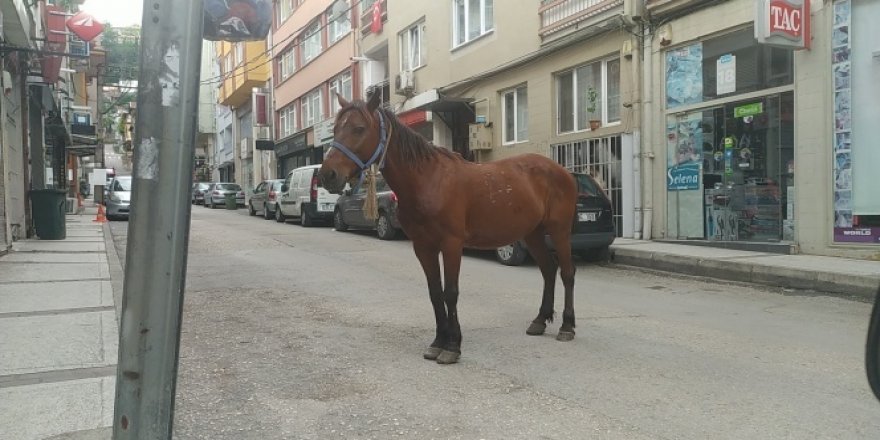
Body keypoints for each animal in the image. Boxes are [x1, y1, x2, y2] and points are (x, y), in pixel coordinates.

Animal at [320, 93, 580, 364]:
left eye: (359, 129)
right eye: (336, 129)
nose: (327, 175)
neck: (428, 180)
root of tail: (563, 172)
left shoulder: (452, 244)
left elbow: (450, 292)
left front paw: (453, 346)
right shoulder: (423, 247)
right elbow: (435, 293)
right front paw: (438, 341)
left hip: (559, 231)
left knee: (567, 273)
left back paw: (567, 326)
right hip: (532, 234)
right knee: (548, 270)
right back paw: (540, 320)